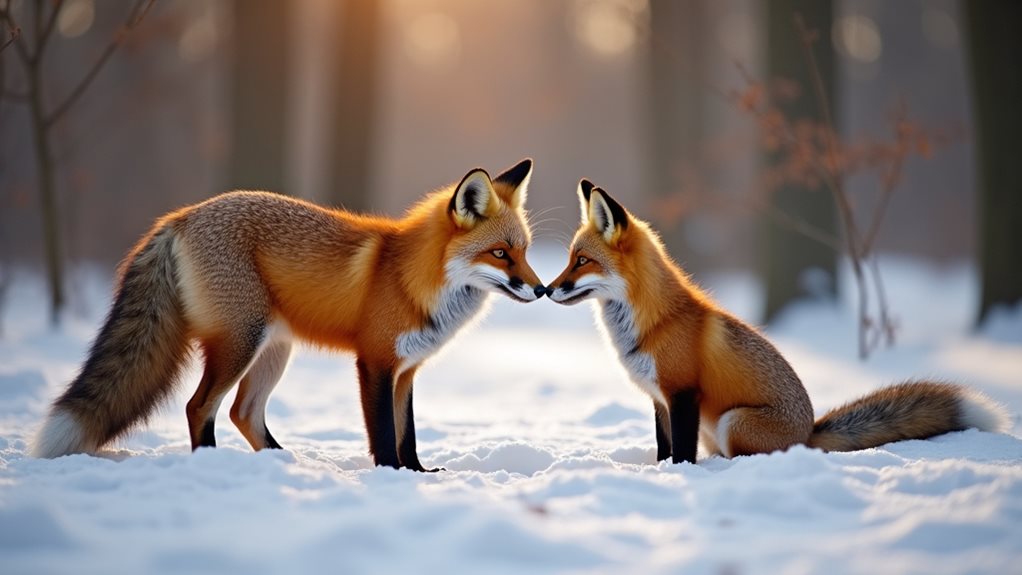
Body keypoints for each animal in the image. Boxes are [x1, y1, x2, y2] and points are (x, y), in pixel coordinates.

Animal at [32, 159, 547, 470]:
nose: (541, 289)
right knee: (200, 406)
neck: (411, 280)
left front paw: (418, 473)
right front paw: (390, 476)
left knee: (242, 412)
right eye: (500, 253)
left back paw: (284, 465)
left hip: (274, 351)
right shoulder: (375, 362)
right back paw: (215, 467)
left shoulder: (407, 371)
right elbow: (385, 433)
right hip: (240, 341)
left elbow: (409, 434)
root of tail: (181, 215)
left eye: (524, 251)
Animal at [547, 179, 1011, 464]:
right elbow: (665, 449)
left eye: (582, 261)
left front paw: (680, 476)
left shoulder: (683, 394)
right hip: (715, 428)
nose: (548, 289)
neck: (653, 323)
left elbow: (681, 452)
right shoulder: (659, 399)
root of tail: (807, 436)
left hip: (731, 422)